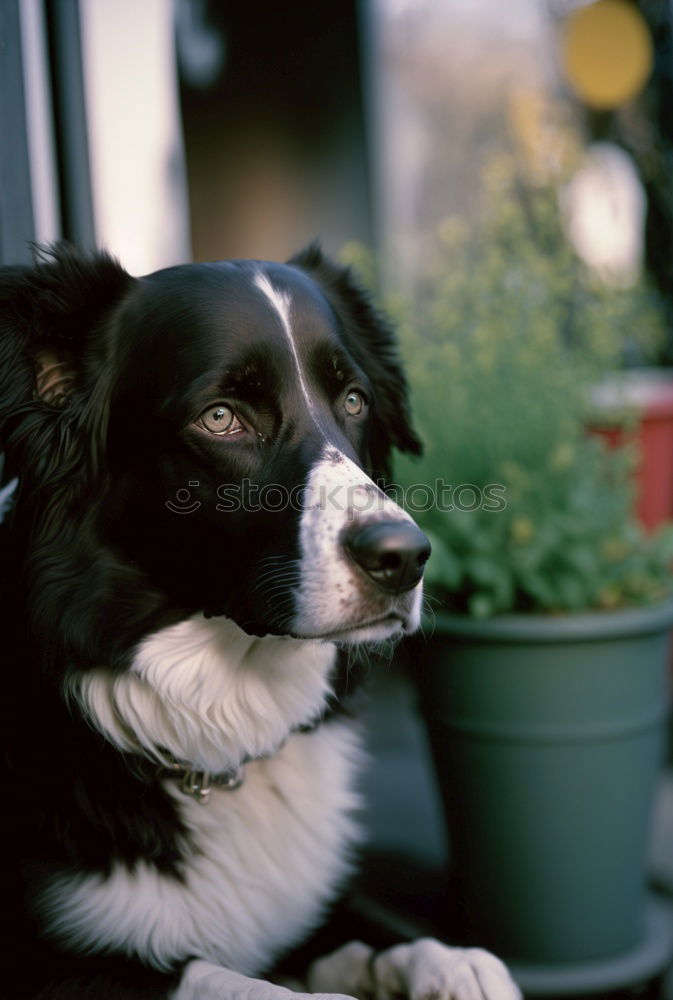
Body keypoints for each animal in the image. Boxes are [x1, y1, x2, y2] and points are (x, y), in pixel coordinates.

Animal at [0, 248, 520, 1000]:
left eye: (354, 401)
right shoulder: (63, 969)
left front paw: (457, 964)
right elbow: (253, 986)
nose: (404, 559)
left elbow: (383, 935)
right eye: (221, 417)